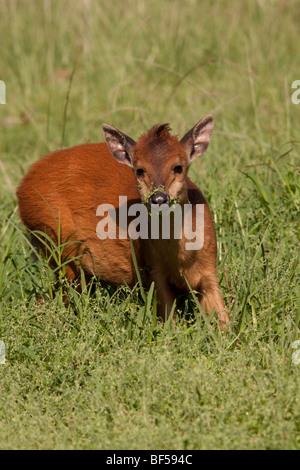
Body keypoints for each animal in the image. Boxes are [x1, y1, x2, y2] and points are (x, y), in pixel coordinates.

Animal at [17, 114, 230, 326]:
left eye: (178, 167)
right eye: (139, 170)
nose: (158, 199)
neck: (182, 260)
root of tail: (22, 187)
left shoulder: (210, 270)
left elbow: (225, 323)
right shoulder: (155, 273)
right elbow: (170, 324)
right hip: (58, 244)